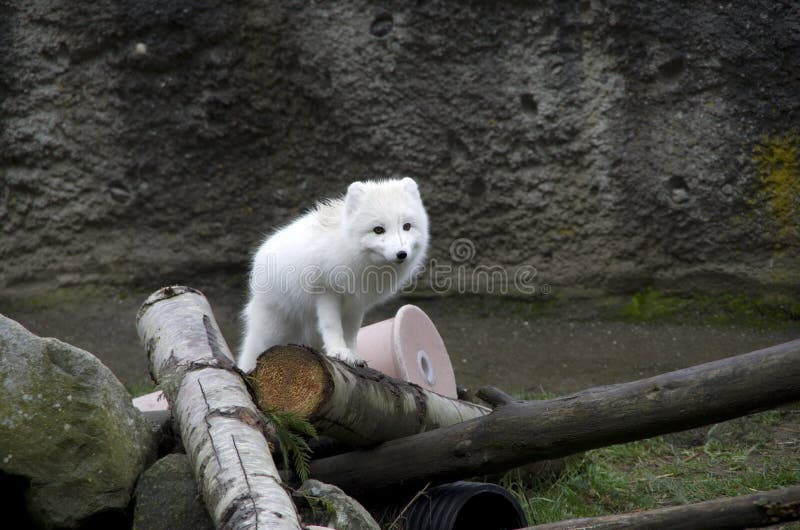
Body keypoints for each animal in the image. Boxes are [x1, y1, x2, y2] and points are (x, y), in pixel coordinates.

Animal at [238, 175, 428, 370]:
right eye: (378, 230)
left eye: (407, 226)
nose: (402, 254)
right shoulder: (326, 292)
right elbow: (332, 326)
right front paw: (339, 352)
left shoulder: (356, 303)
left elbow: (352, 332)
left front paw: (354, 355)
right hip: (273, 330)